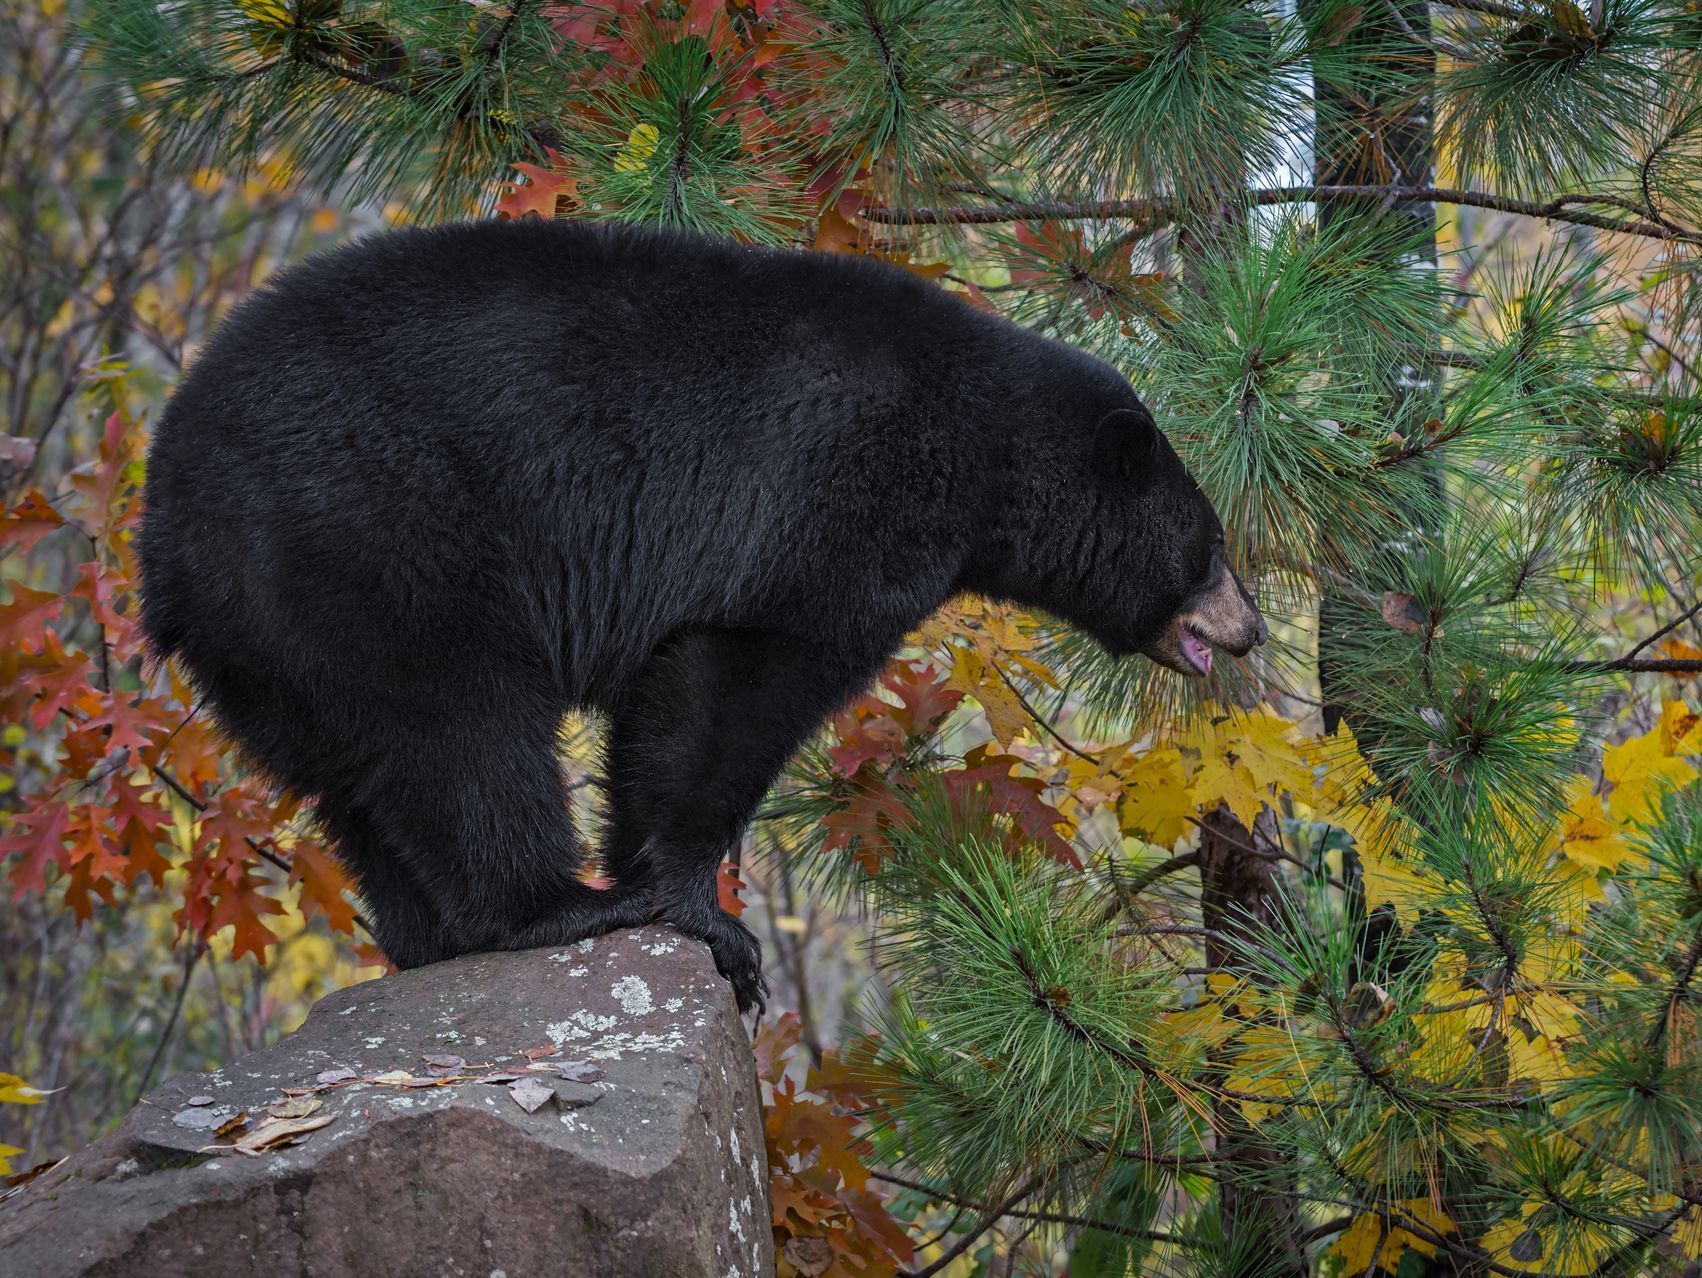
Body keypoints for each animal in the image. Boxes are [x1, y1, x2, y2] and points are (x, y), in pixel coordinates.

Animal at [139, 222, 1266, 1021]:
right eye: (1212, 549)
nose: (1250, 628)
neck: (982, 447)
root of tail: (162, 532)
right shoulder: (836, 502)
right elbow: (731, 687)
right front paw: (704, 919)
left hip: (277, 646)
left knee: (362, 783)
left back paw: (425, 937)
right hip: (371, 548)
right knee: (463, 734)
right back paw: (557, 906)